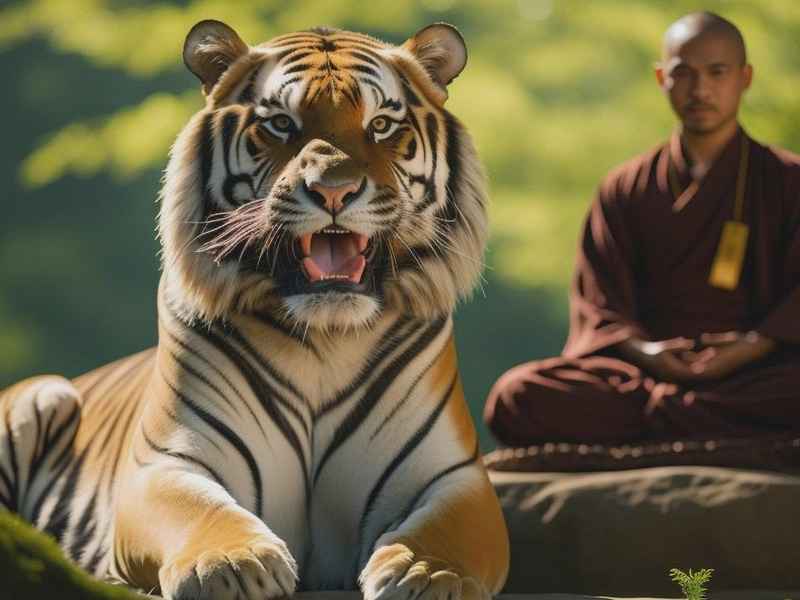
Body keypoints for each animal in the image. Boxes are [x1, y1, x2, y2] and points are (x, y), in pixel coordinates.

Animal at [0, 19, 509, 600]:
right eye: (281, 123)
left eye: (380, 124)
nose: (333, 191)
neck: (326, 337)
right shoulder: (168, 461)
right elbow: (199, 511)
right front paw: (231, 564)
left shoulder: (453, 476)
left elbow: (443, 534)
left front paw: (428, 574)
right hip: (44, 393)